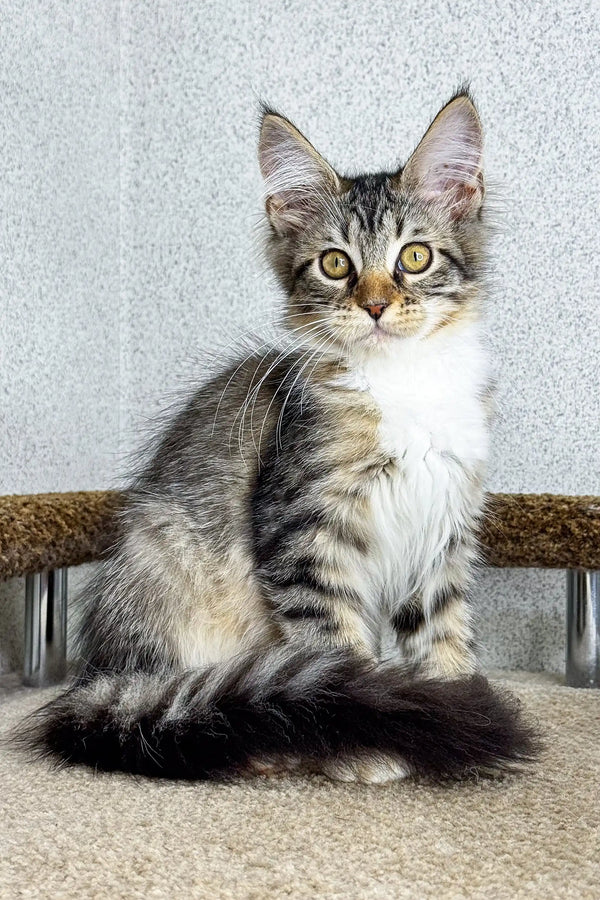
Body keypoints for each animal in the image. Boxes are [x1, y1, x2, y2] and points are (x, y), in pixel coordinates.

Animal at [24, 91, 540, 780]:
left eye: (415, 257)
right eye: (335, 264)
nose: (375, 305)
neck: (405, 381)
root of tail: (98, 675)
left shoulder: (446, 528)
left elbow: (445, 632)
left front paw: (456, 705)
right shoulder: (301, 532)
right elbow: (337, 653)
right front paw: (381, 736)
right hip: (168, 567)